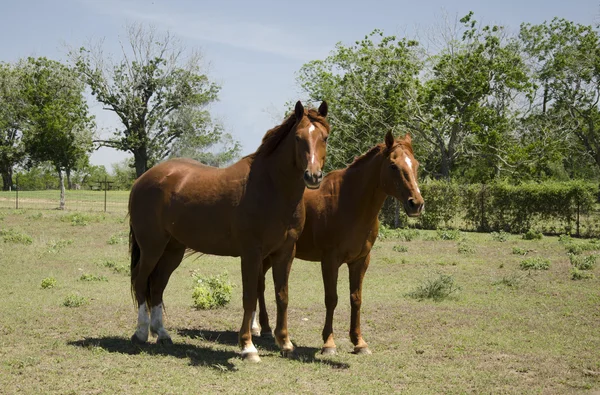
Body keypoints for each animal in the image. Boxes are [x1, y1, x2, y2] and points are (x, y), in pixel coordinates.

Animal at [128, 101, 330, 362]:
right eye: (298, 137)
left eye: (324, 137)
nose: (313, 176)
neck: (270, 188)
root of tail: (142, 180)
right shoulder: (251, 253)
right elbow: (249, 297)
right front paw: (248, 346)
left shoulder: (285, 252)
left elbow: (282, 296)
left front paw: (285, 343)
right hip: (152, 247)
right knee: (140, 280)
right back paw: (141, 333)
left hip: (173, 250)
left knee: (157, 285)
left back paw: (162, 334)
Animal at [252, 131, 422, 356]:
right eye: (393, 166)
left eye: (416, 165)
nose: (416, 204)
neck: (349, 201)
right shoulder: (330, 261)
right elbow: (331, 299)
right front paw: (329, 343)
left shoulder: (360, 261)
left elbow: (356, 299)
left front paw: (359, 342)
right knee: (259, 285)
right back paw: (262, 328)